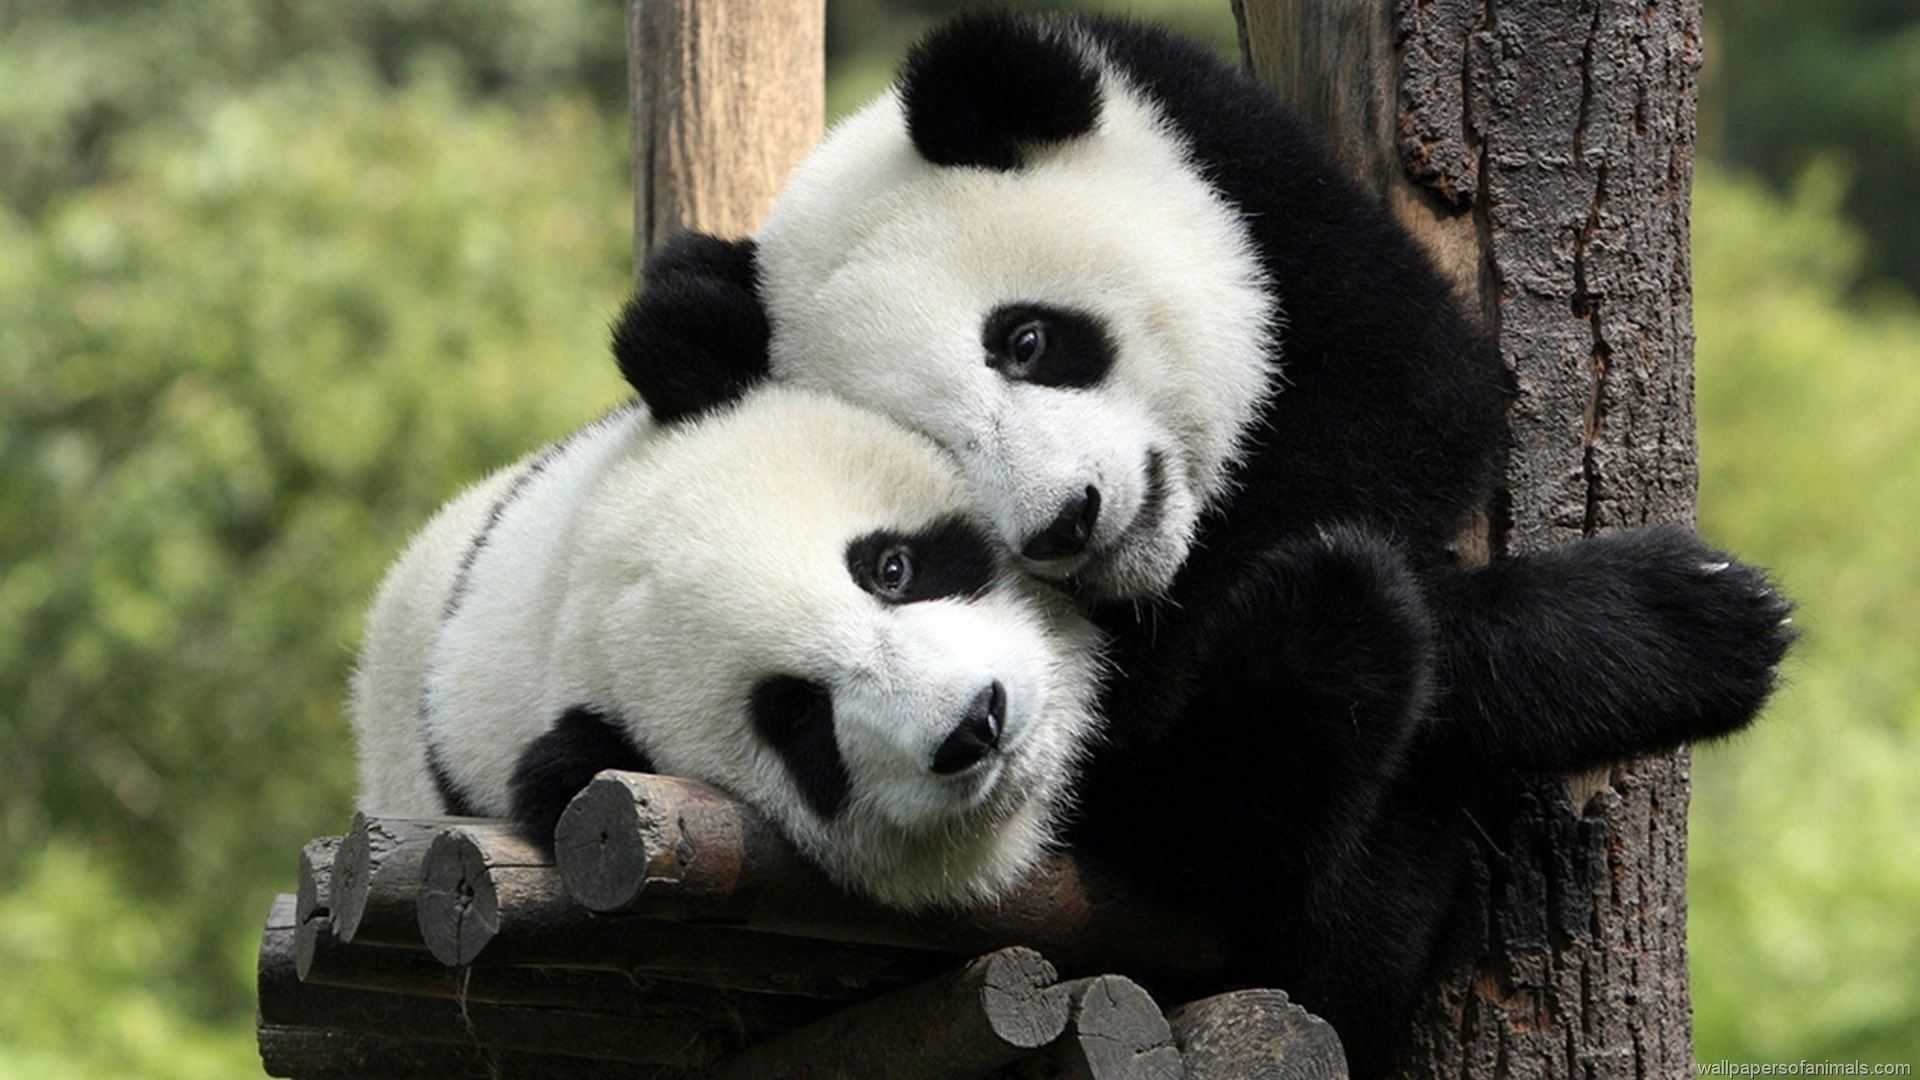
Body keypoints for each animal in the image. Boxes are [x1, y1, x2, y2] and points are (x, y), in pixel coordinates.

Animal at [611, 11, 1796, 1066]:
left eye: (1027, 340)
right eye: (936, 449)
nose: (1067, 521)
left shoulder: (1256, 188)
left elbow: (1412, 402)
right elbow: (1170, 762)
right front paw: (1679, 625)